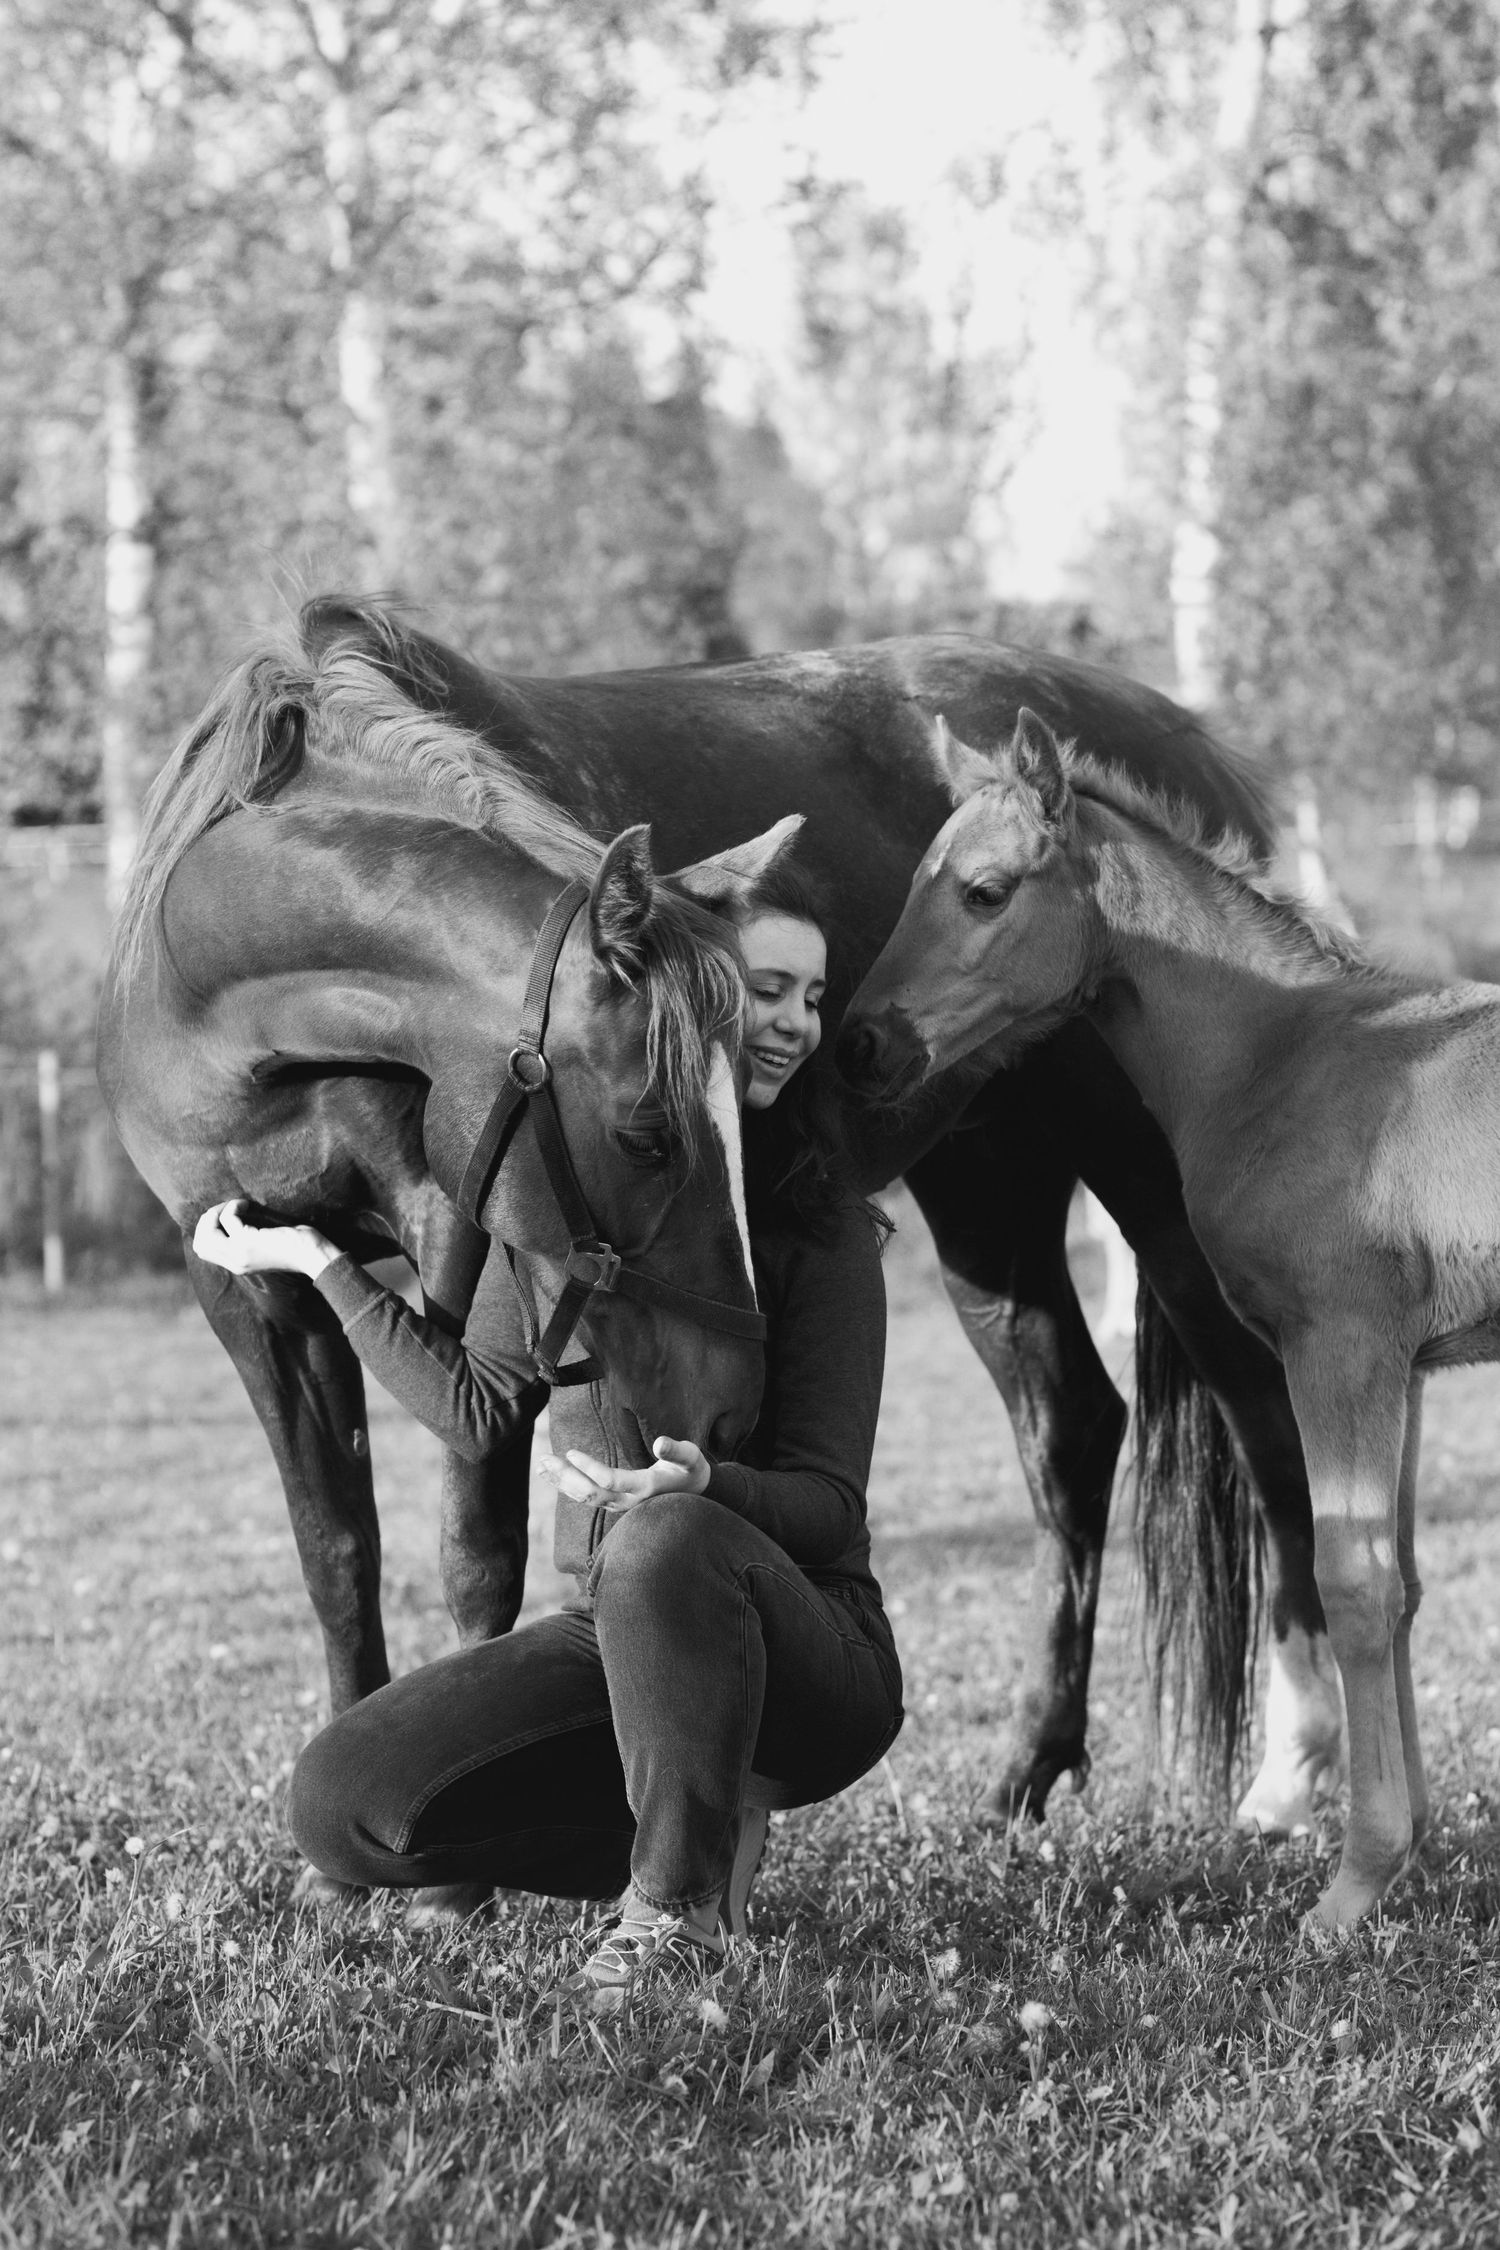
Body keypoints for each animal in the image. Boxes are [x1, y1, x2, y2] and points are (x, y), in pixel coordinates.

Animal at [98, 639, 786, 1721]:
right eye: (646, 1136)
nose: (732, 1409)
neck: (230, 1018)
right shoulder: (238, 1278)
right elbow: (337, 1552)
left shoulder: (450, 1231)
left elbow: (477, 1556)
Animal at [226, 594, 1338, 1835]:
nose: (712, 1407)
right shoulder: (262, 1305)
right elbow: (337, 1549)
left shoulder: (454, 1247)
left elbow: (473, 1549)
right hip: (987, 1194)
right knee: (1072, 1428)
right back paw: (1029, 1769)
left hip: (1159, 1201)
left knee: (1264, 1417)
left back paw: (1291, 1770)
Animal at [839, 704, 1500, 1925]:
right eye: (913, 883)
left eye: (986, 892)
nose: (861, 1046)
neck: (1288, 1052)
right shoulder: (1410, 1367)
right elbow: (1405, 1584)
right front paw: (1416, 1848)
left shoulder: (1341, 1349)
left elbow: (1352, 1582)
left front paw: (1354, 1885)